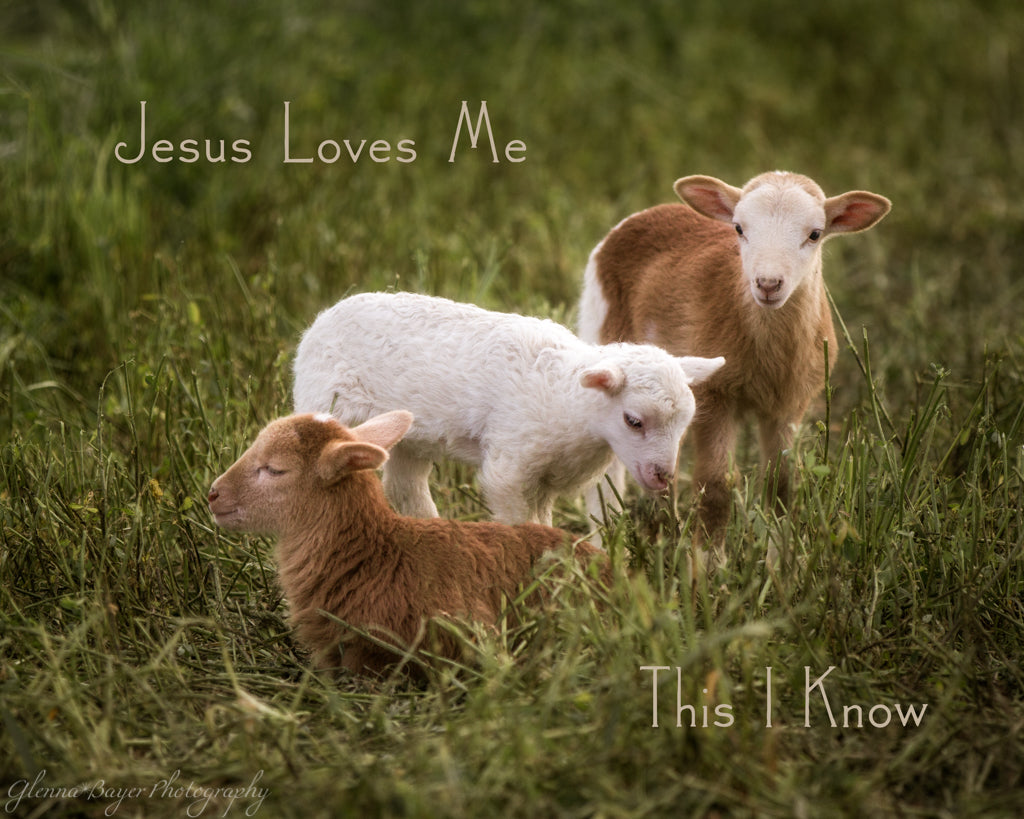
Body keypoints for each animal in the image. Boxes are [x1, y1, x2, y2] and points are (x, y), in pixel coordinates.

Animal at [292, 291, 725, 529]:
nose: (662, 477)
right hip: (325, 401)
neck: (566, 399)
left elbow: (543, 521)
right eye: (633, 421)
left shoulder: (545, 480)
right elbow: (519, 520)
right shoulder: (511, 466)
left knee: (405, 485)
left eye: (684, 426)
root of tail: (325, 316)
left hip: (412, 435)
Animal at [578, 171, 890, 557]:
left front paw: (780, 564)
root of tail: (649, 212)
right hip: (600, 323)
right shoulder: (715, 394)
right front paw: (708, 564)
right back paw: (605, 544)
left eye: (815, 234)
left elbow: (781, 484)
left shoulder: (790, 402)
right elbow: (715, 486)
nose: (768, 284)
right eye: (739, 229)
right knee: (605, 469)